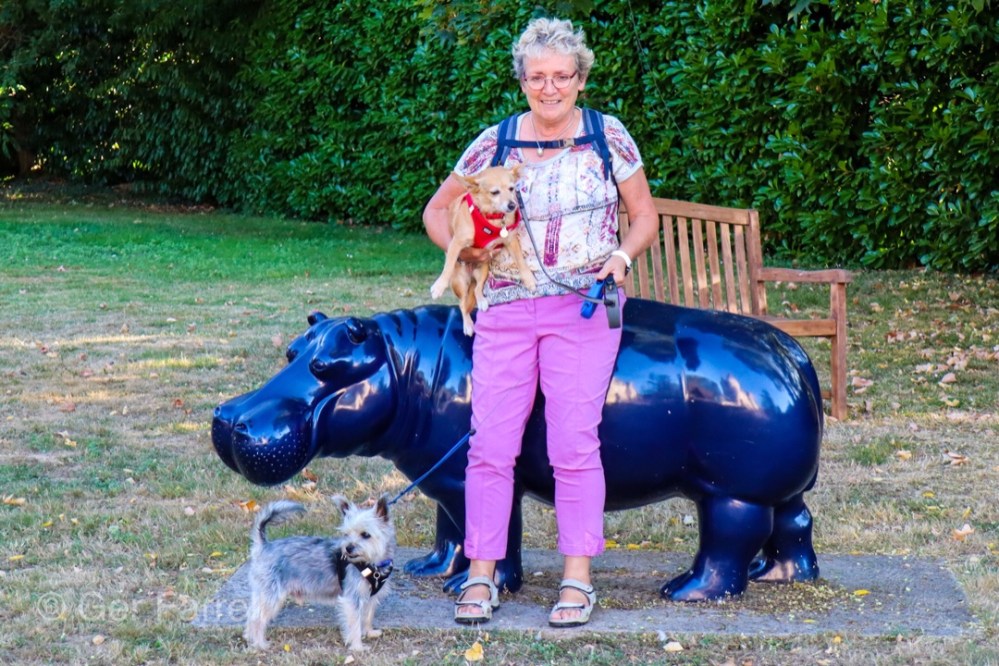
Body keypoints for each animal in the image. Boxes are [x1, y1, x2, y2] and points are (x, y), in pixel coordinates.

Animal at [243, 496, 395, 651]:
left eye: (365, 535)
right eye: (346, 534)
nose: (348, 548)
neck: (371, 564)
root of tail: (264, 545)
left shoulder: (370, 597)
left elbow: (368, 615)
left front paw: (369, 632)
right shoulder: (352, 599)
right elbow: (354, 625)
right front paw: (358, 647)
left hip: (263, 593)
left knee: (251, 613)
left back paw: (250, 637)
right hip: (271, 594)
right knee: (257, 618)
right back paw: (259, 643)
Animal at [430, 165, 536, 335]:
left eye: (512, 188)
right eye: (495, 192)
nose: (512, 205)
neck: (492, 217)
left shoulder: (511, 240)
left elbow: (520, 261)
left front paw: (529, 279)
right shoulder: (456, 243)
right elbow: (448, 265)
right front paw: (439, 286)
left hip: (483, 269)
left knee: (477, 290)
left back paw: (481, 302)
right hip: (460, 282)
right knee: (462, 303)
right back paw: (467, 325)